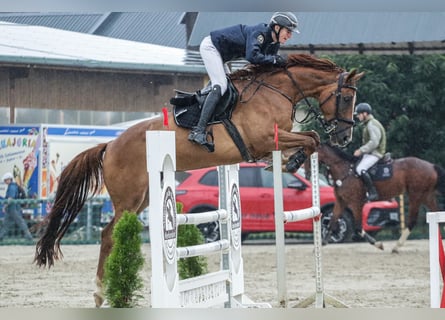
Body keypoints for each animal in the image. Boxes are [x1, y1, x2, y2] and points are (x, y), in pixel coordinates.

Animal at [33, 53, 360, 306]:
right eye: (346, 98)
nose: (345, 136)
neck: (276, 91)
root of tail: (110, 144)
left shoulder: (272, 142)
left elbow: (312, 138)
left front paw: (288, 162)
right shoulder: (266, 139)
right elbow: (312, 138)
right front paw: (289, 162)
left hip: (144, 198)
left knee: (111, 233)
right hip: (129, 198)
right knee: (109, 235)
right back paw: (105, 294)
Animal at [312, 144, 444, 252]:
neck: (344, 171)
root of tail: (431, 166)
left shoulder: (355, 203)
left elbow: (358, 228)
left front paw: (378, 244)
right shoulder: (341, 202)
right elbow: (332, 222)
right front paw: (321, 245)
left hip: (415, 195)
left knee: (412, 220)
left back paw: (397, 246)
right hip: (426, 195)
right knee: (436, 214)